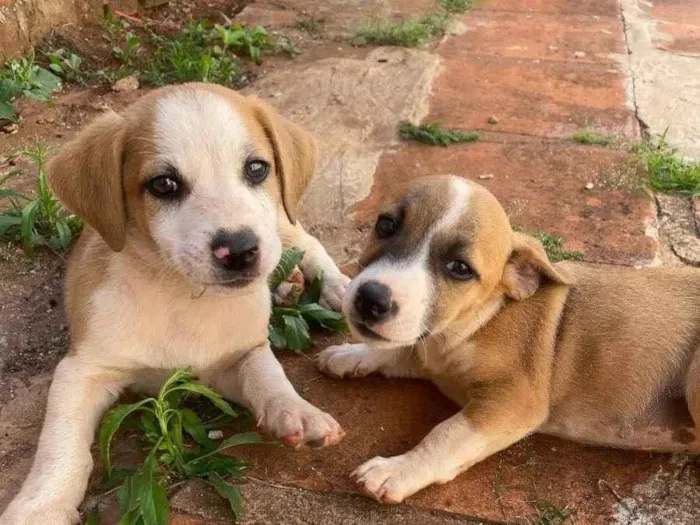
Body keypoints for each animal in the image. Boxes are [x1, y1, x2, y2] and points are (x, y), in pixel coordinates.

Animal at [0, 83, 350, 524]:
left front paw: (298, 412)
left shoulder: (237, 356)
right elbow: (61, 447)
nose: (239, 250)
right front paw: (40, 506)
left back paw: (336, 288)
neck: (181, 293)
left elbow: (268, 376)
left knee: (307, 242)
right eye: (163, 184)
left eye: (256, 169)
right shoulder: (82, 369)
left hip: (280, 223)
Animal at [318, 175, 700, 504]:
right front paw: (350, 354)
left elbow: (447, 434)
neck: (482, 319)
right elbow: (400, 350)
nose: (370, 300)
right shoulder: (430, 348)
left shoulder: (515, 400)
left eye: (460, 268)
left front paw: (397, 470)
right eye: (386, 225)